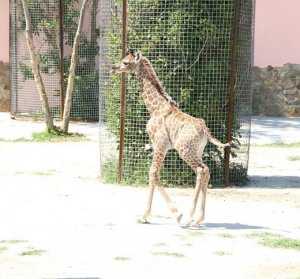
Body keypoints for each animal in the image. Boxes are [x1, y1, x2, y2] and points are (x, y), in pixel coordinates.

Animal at [111, 50, 231, 228]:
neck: (154, 107)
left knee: (201, 170)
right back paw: (198, 219)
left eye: (126, 62)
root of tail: (205, 131)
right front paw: (172, 214)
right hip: (197, 151)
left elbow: (153, 173)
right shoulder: (162, 147)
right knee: (207, 170)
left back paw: (188, 218)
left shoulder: (159, 144)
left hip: (184, 150)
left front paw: (150, 216)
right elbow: (156, 174)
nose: (114, 68)